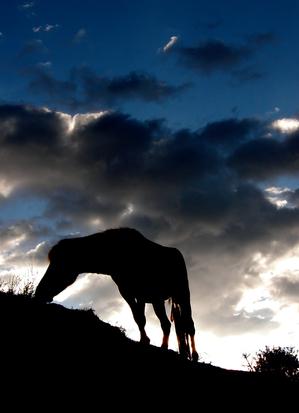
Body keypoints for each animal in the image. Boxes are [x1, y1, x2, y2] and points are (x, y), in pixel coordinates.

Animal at [35, 227, 199, 358]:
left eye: (58, 265)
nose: (39, 292)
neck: (119, 255)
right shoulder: (131, 294)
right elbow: (139, 318)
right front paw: (144, 340)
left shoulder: (145, 296)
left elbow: (156, 322)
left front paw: (154, 344)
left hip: (181, 296)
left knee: (187, 325)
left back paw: (193, 354)